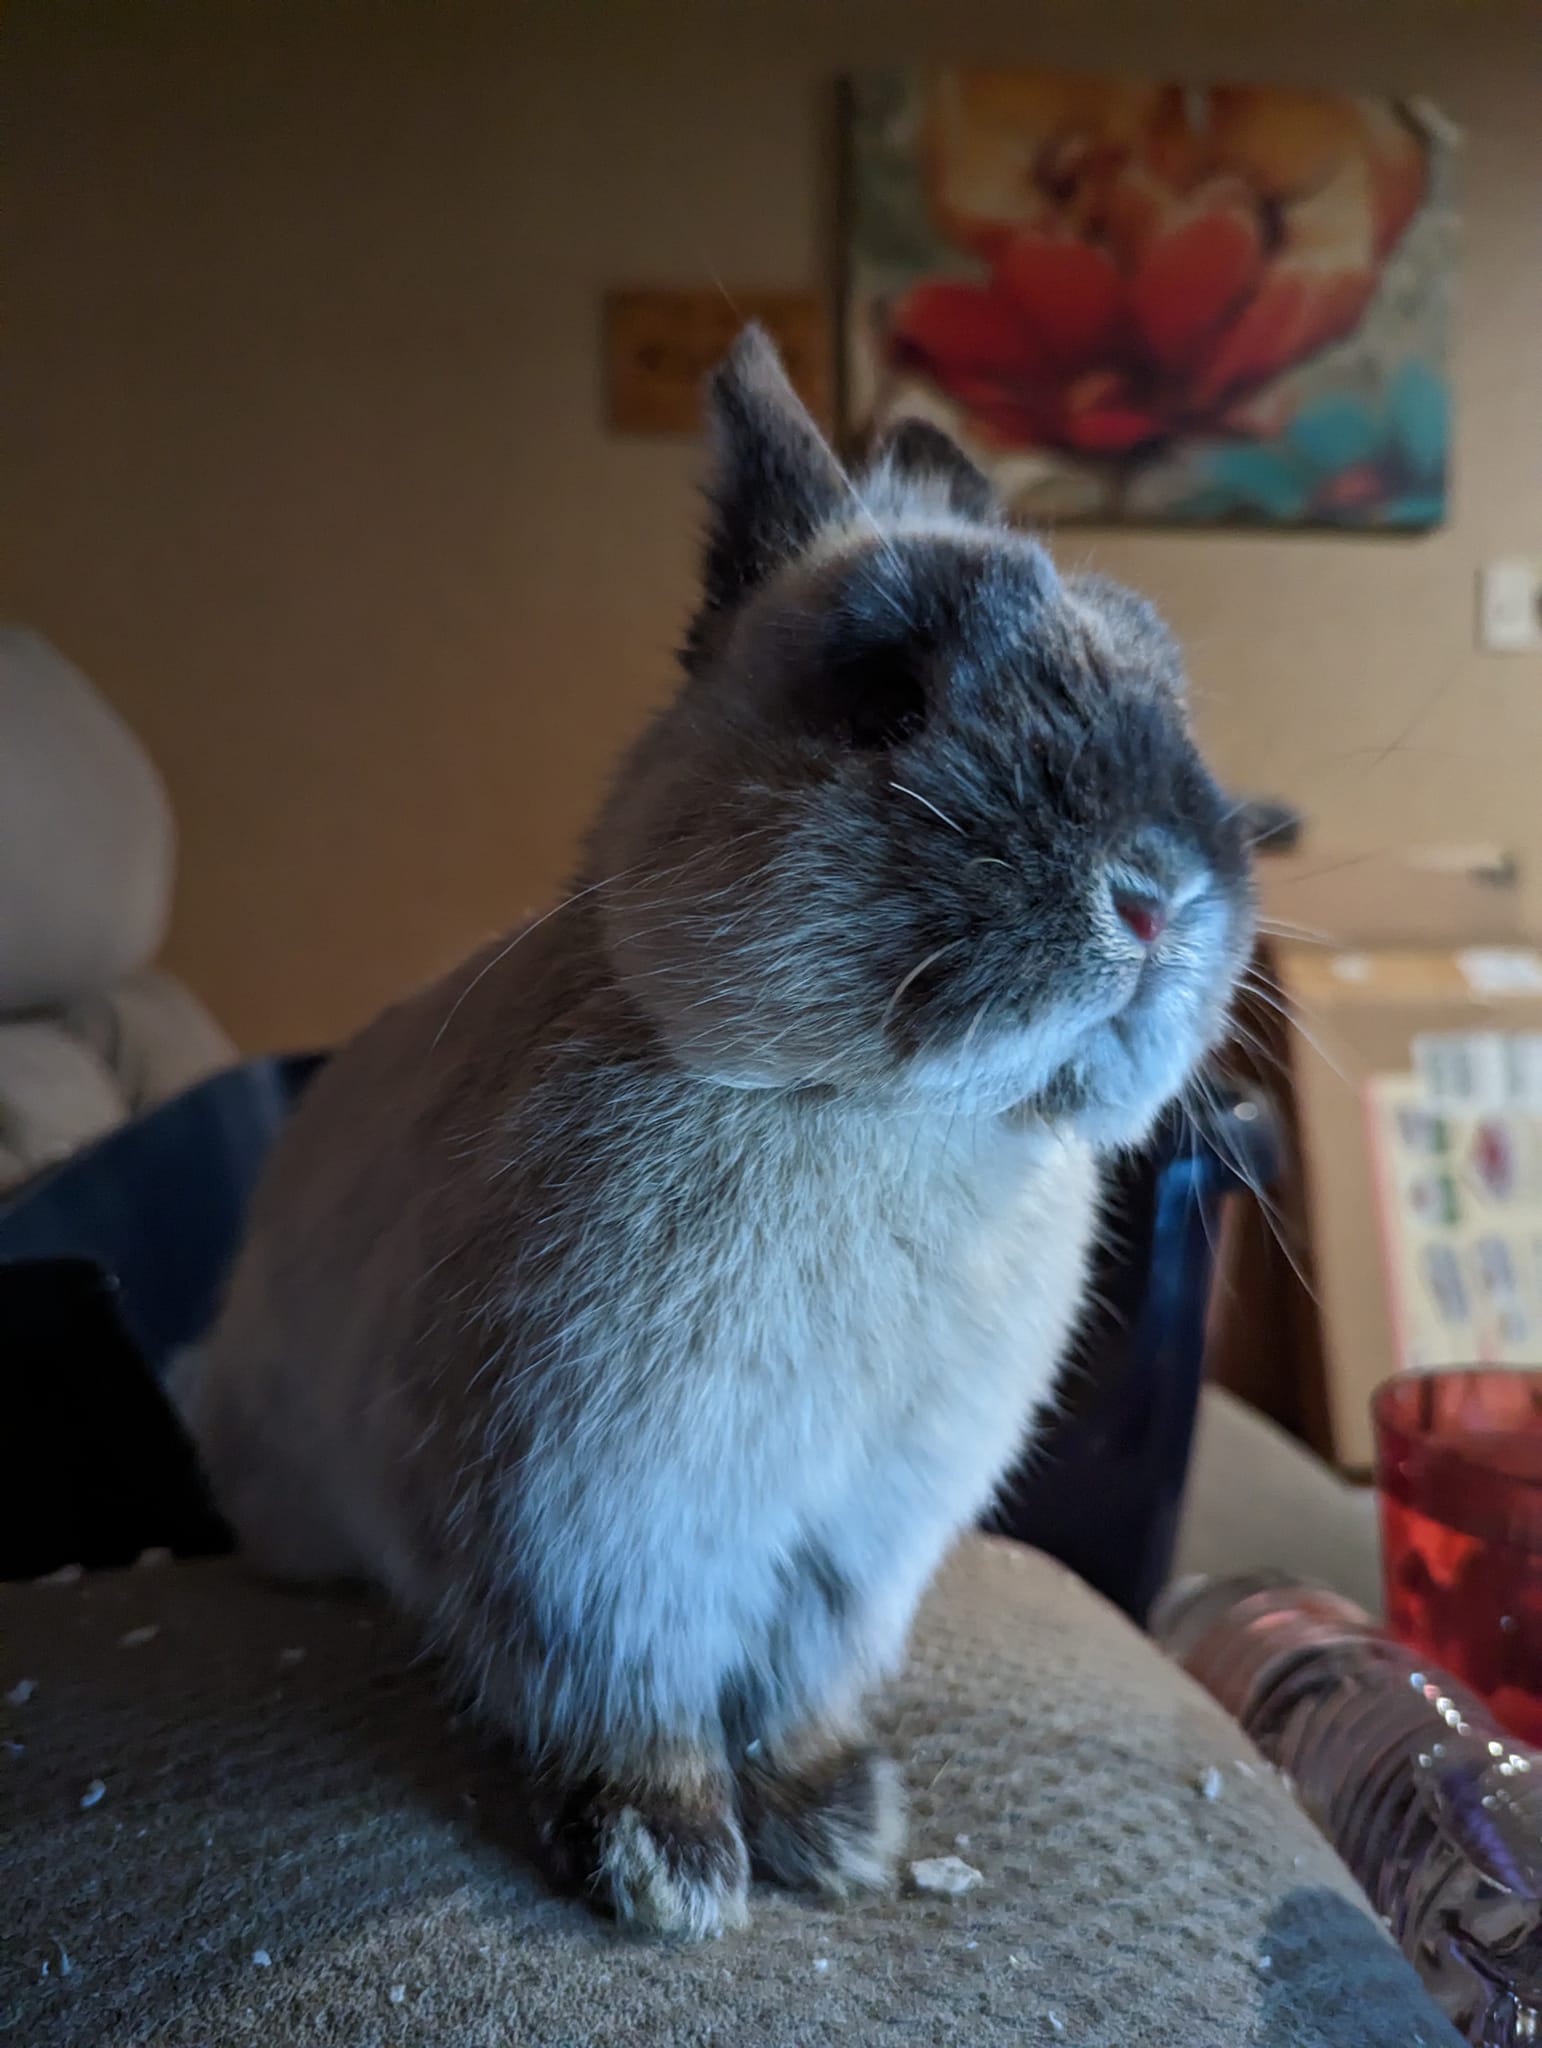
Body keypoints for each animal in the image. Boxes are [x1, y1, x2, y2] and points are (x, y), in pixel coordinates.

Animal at [178, 327, 1254, 1941]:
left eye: (1172, 694)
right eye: (883, 691)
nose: (1154, 896)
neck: (883, 1115)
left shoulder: (853, 1549)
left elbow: (800, 1692)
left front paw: (838, 1827)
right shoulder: (588, 1527)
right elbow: (633, 1696)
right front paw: (672, 1866)